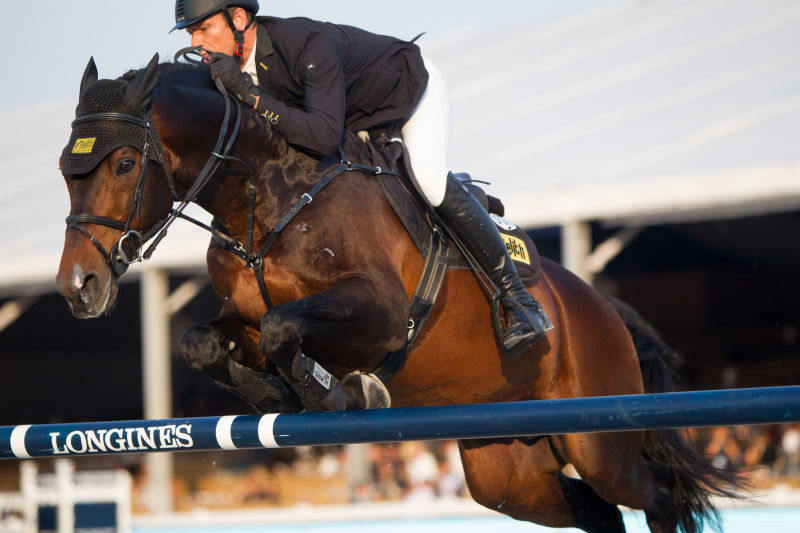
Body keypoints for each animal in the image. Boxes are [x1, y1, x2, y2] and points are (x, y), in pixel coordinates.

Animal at [53, 55, 736, 532]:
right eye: (66, 171)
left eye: (123, 165)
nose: (77, 288)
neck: (266, 193)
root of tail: (605, 309)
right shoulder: (239, 318)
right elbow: (206, 341)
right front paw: (276, 392)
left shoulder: (378, 312)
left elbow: (285, 329)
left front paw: (336, 393)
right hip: (507, 469)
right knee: (597, 511)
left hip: (599, 440)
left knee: (656, 497)